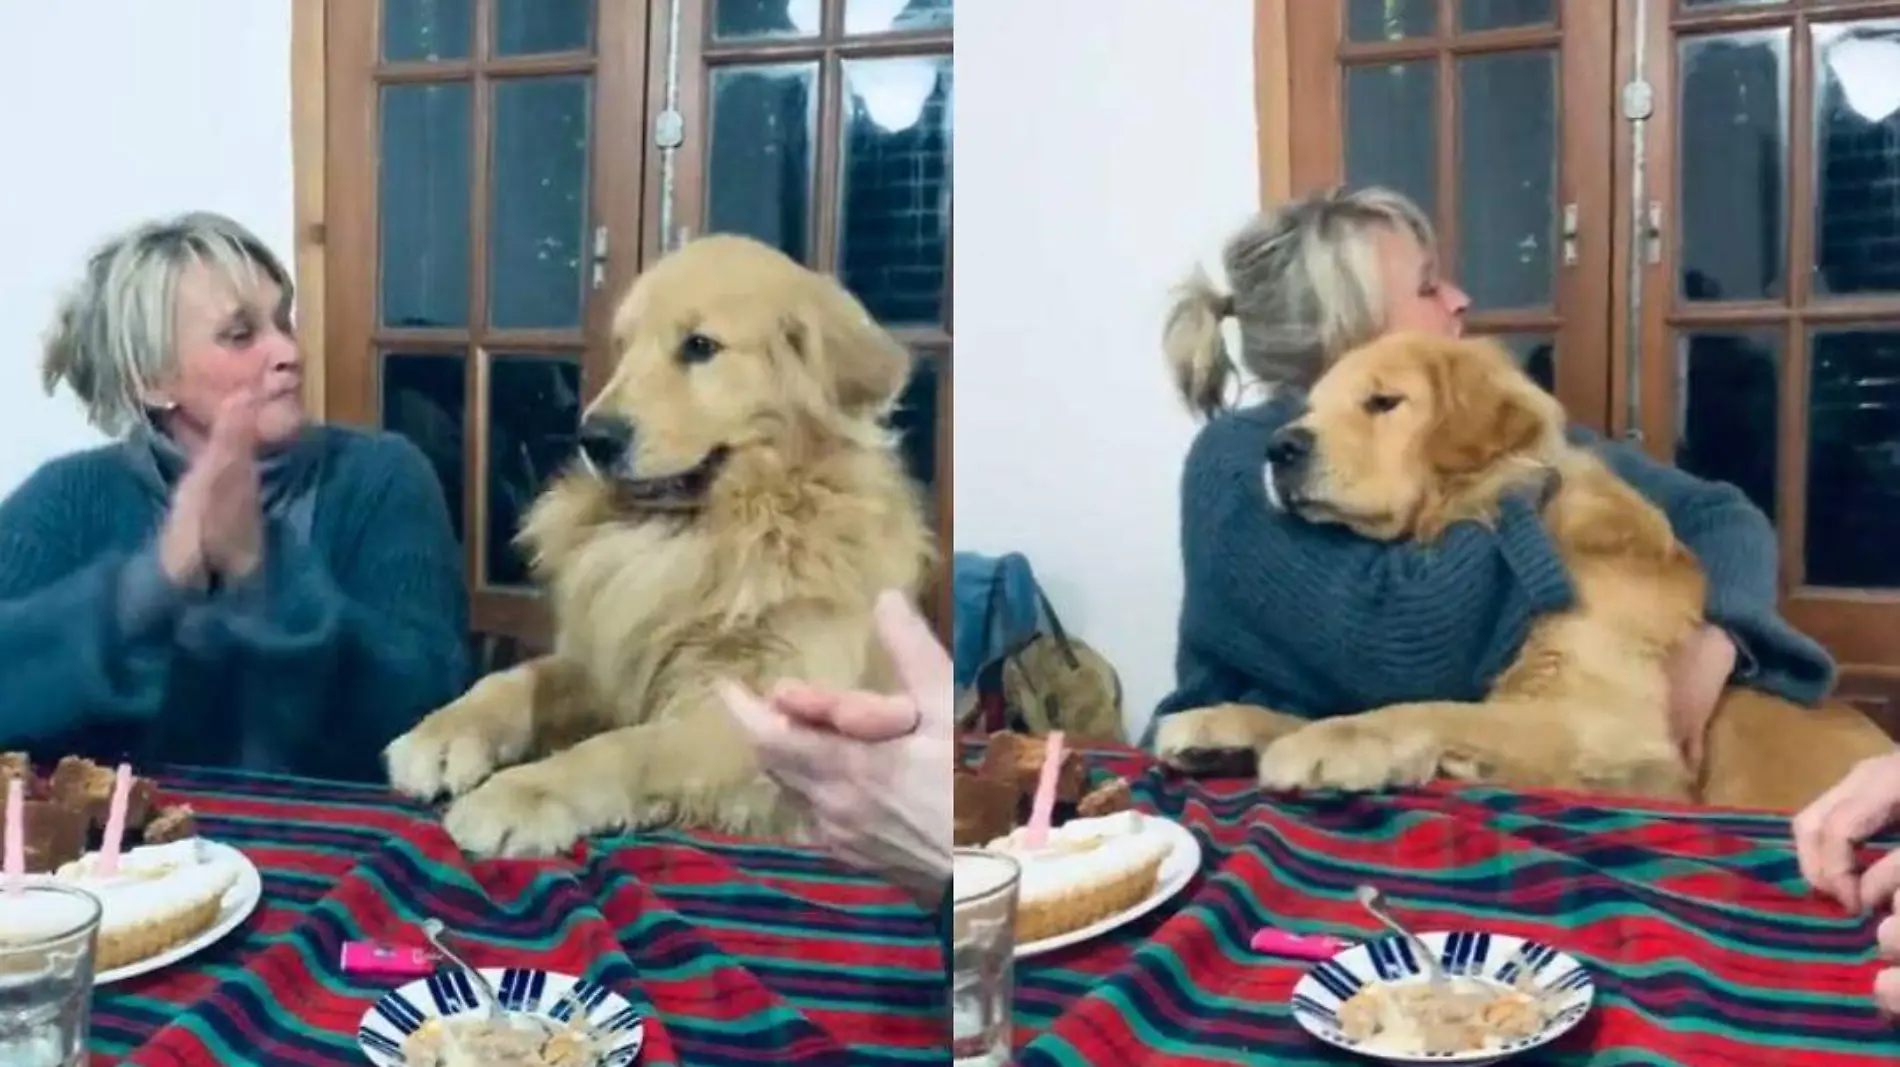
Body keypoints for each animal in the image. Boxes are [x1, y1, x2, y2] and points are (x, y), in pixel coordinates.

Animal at [380, 234, 934, 854]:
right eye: (624, 347)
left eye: (699, 346)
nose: (593, 438)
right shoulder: (615, 657)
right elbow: (516, 679)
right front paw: (442, 734)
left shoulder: (765, 718)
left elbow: (626, 746)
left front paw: (521, 792)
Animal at [1147, 332, 1892, 804]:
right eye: (1310, 409)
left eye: (1384, 402)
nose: (1279, 448)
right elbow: (1314, 707)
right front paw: (1222, 725)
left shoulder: (1595, 721)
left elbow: (1421, 707)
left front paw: (1338, 740)